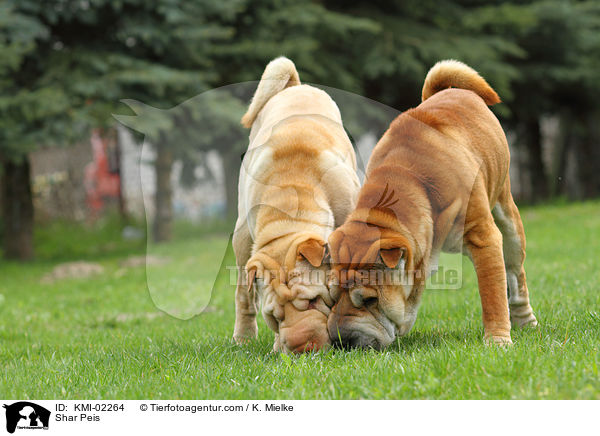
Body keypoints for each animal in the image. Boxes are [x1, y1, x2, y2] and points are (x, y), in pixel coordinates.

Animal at [328, 59, 540, 350]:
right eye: (331, 297)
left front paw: (497, 340)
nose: (339, 339)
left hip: (508, 216)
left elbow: (492, 294)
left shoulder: (483, 237)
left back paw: (525, 320)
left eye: (370, 300)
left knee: (515, 273)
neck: (412, 183)